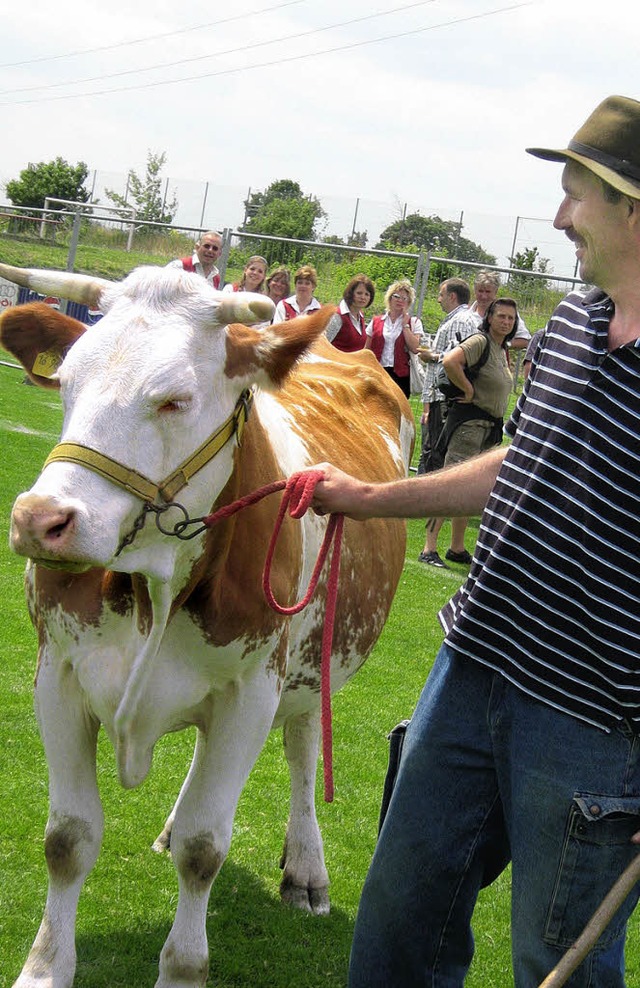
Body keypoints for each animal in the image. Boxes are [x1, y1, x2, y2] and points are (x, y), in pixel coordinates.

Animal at [1, 262, 416, 988]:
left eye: (174, 400)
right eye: (67, 383)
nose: (38, 519)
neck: (153, 582)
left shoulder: (252, 692)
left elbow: (203, 849)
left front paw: (182, 969)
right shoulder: (59, 674)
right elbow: (68, 838)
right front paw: (44, 969)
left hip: (311, 663)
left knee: (302, 749)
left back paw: (306, 866)